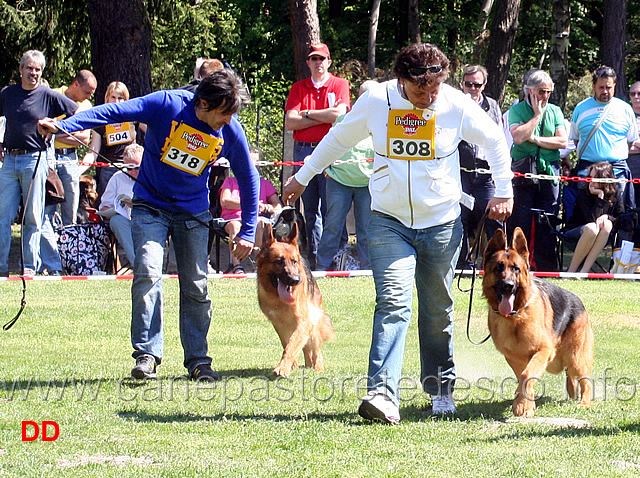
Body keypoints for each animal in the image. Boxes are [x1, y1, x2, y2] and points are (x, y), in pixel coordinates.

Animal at [255, 222, 336, 376]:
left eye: (293, 262)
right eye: (279, 261)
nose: (296, 280)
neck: (279, 300)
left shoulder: (303, 321)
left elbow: (292, 345)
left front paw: (283, 367)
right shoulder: (279, 324)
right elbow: (287, 344)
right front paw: (291, 365)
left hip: (313, 322)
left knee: (316, 348)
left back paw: (318, 367)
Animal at [484, 227, 596, 414]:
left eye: (516, 269)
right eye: (498, 268)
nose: (508, 285)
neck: (516, 316)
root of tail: (580, 303)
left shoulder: (543, 350)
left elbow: (526, 375)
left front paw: (522, 405)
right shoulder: (513, 358)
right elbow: (523, 377)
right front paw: (526, 403)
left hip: (576, 357)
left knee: (585, 380)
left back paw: (585, 403)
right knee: (570, 376)